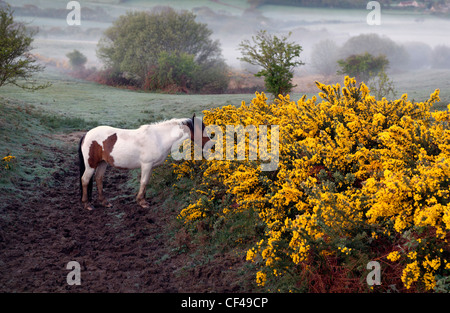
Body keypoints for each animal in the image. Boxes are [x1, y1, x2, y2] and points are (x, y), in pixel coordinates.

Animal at [78, 112, 209, 210]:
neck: (159, 138)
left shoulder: (151, 167)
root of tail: (87, 134)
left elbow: (146, 182)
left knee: (98, 178)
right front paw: (142, 202)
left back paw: (104, 202)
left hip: (103, 163)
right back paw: (87, 204)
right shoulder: (146, 165)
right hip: (91, 165)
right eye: (201, 129)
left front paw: (143, 199)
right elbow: (144, 181)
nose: (210, 146)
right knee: (85, 180)